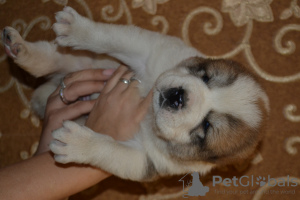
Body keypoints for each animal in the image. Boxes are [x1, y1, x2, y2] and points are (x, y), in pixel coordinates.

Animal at [1, 6, 270, 181]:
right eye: (205, 76)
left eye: (206, 127)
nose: (178, 97)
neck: (149, 112)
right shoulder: (148, 48)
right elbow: (112, 38)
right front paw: (78, 29)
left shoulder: (147, 159)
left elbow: (110, 151)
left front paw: (77, 143)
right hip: (82, 61)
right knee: (50, 58)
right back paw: (19, 47)